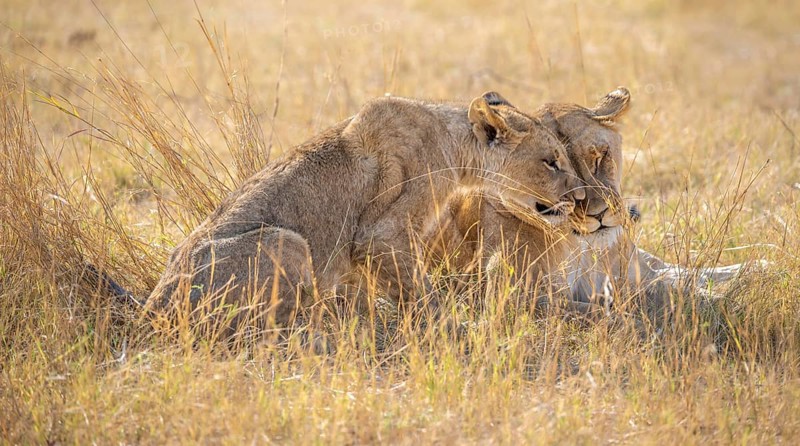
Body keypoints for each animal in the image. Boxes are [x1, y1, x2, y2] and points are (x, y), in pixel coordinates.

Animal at [139, 91, 583, 331]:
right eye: (551, 162)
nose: (580, 198)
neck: (456, 147)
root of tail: (151, 312)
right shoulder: (380, 234)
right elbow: (422, 292)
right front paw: (456, 329)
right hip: (287, 241)